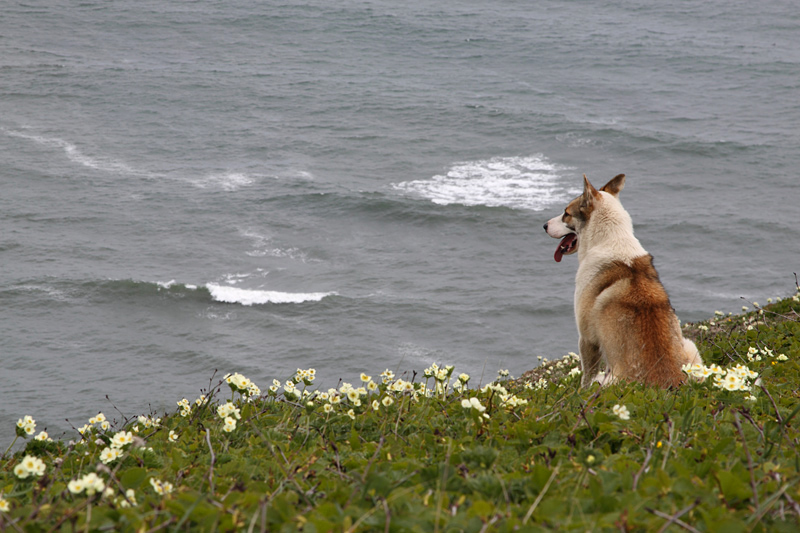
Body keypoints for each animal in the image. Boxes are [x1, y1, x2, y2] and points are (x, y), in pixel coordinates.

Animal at [544, 175, 700, 386]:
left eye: (566, 213)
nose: (544, 226)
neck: (610, 239)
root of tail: (670, 383)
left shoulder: (587, 339)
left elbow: (586, 377)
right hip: (691, 348)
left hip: (609, 379)